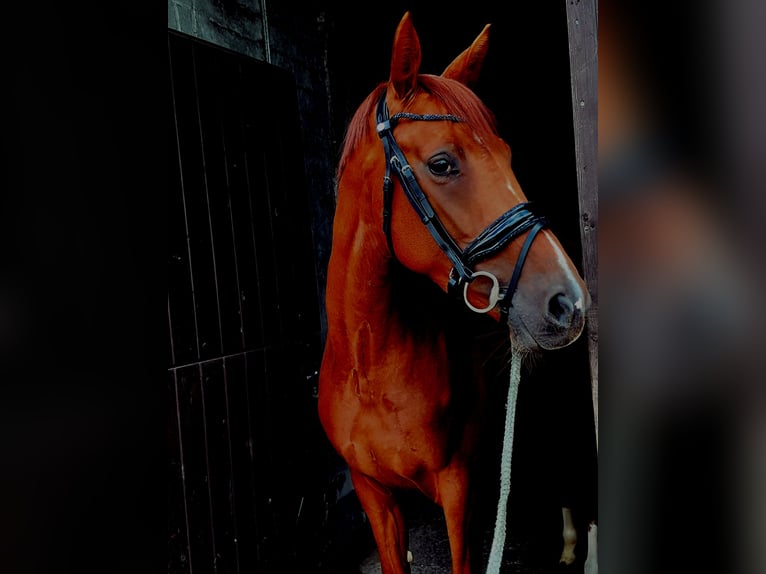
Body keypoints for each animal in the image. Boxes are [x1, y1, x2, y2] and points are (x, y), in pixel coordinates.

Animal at [318, 13, 592, 574]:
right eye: (442, 163)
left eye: (508, 156)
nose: (569, 302)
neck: (372, 367)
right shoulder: (374, 494)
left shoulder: (458, 490)